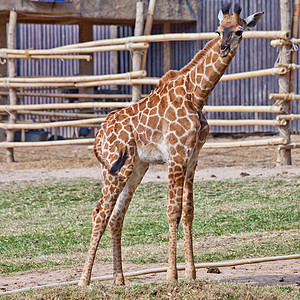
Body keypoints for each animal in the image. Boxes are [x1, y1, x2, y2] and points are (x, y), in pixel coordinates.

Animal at [78, 3, 264, 288]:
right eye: (218, 30)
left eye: (239, 31)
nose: (223, 48)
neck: (197, 96)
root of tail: (98, 138)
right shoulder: (176, 155)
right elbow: (172, 211)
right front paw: (171, 276)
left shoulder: (193, 157)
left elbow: (188, 211)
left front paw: (191, 274)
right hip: (114, 167)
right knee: (100, 212)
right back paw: (83, 281)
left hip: (135, 168)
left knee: (116, 216)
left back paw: (119, 280)